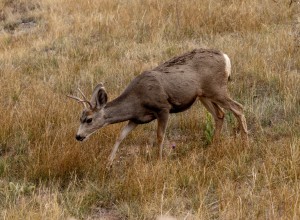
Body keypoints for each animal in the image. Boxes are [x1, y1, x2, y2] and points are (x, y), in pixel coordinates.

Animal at [68, 48, 248, 165]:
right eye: (80, 118)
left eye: (89, 119)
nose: (78, 136)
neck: (136, 100)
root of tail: (226, 58)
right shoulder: (137, 118)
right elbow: (121, 135)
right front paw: (109, 161)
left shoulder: (163, 108)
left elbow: (160, 136)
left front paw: (159, 160)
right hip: (203, 95)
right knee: (220, 115)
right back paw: (213, 145)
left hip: (216, 89)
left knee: (238, 108)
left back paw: (245, 144)